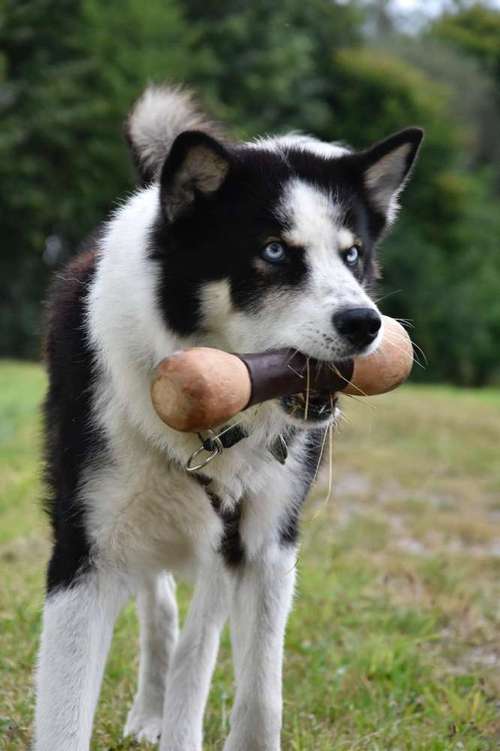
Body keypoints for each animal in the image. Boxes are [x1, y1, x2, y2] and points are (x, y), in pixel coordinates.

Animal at [32, 85, 422, 748]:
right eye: (273, 251)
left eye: (352, 256)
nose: (365, 324)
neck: (214, 430)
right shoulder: (87, 553)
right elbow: (65, 717)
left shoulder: (267, 543)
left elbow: (260, 693)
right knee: (163, 609)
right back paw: (150, 715)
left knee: (193, 638)